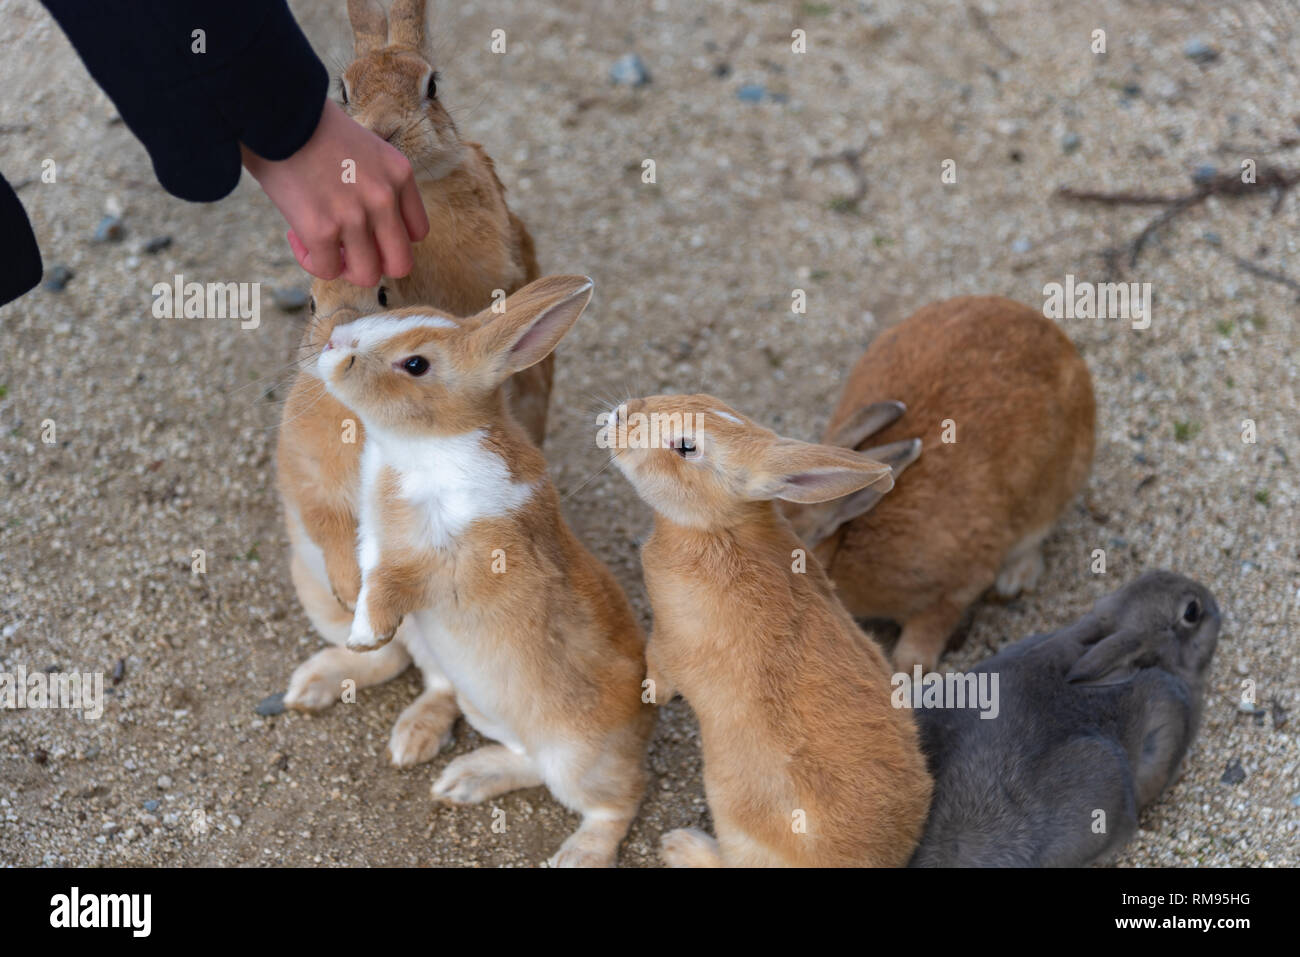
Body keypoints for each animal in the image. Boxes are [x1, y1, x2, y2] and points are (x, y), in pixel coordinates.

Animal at [275, 0, 549, 756]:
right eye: (341, 91)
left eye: (432, 85)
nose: (384, 133)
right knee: (387, 653)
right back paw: (319, 681)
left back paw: (414, 736)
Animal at [315, 275, 654, 867]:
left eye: (416, 364)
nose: (335, 345)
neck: (428, 445)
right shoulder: (372, 546)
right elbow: (369, 577)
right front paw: (357, 627)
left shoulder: (450, 564)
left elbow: (392, 586)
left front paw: (365, 637)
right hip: (474, 698)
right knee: (514, 750)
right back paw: (457, 776)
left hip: (578, 759)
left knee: (614, 804)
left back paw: (576, 854)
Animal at [610, 394, 933, 867]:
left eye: (686, 446)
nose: (619, 416)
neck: (718, 529)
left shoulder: (669, 639)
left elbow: (659, 665)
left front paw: (652, 692)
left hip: (733, 814)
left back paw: (681, 845)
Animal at [783, 295, 1096, 675]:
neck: (843, 540)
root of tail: (1059, 339)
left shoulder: (955, 585)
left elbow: (931, 627)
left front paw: (907, 669)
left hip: (1056, 490)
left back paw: (1014, 580)